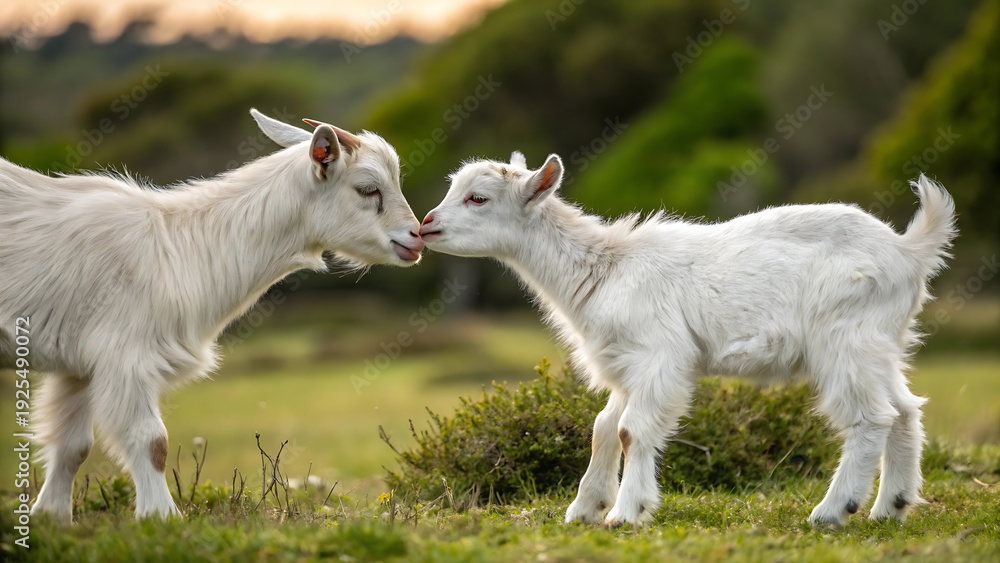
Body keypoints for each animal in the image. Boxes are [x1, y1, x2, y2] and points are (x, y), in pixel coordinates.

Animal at [0, 110, 424, 523]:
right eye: (367, 189)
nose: (416, 237)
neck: (177, 248)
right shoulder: (125, 355)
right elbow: (152, 441)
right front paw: (161, 519)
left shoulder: (78, 367)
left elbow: (73, 445)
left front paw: (51, 518)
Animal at [419, 151, 956, 527]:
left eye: (478, 198)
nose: (426, 225)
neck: (605, 269)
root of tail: (909, 251)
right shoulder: (627, 363)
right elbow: (603, 426)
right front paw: (585, 508)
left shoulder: (659, 354)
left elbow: (631, 430)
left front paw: (625, 513)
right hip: (880, 341)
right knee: (905, 410)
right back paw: (891, 507)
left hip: (844, 338)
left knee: (872, 417)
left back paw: (832, 511)